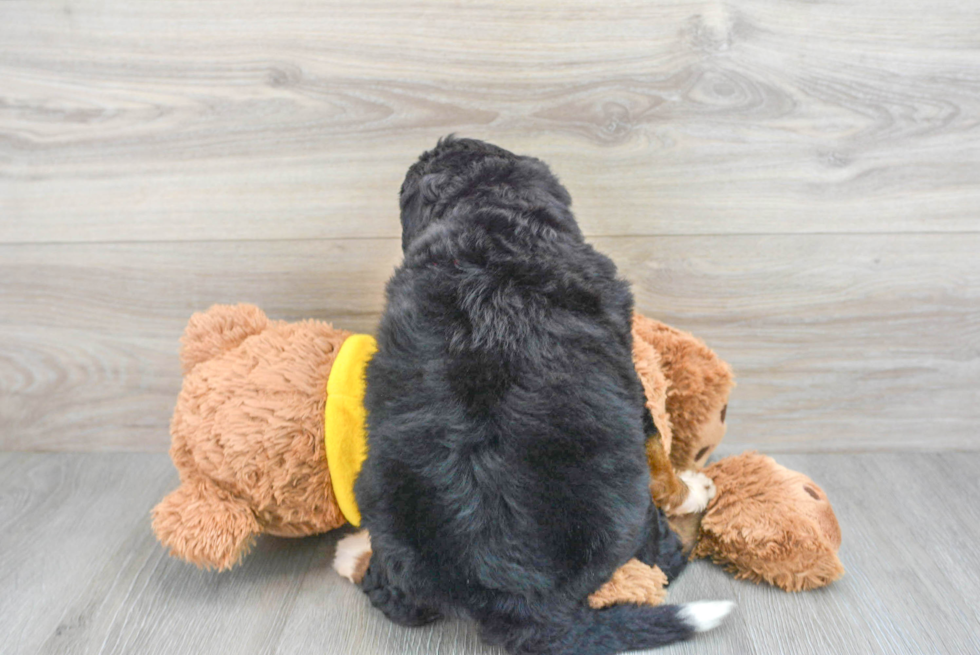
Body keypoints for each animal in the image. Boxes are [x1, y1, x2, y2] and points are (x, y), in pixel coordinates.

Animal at [340, 136, 732, 652]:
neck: (486, 221)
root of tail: (513, 603)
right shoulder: (628, 369)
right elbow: (657, 452)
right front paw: (688, 487)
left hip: (376, 491)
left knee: (395, 601)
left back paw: (359, 558)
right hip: (628, 512)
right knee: (660, 557)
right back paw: (693, 513)